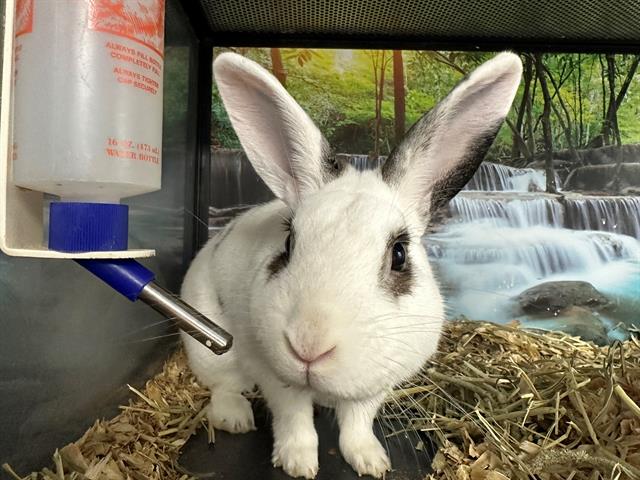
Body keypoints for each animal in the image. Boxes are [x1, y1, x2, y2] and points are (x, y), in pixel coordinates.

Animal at [181, 51, 522, 479]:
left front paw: (372, 461)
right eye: (289, 243)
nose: (308, 346)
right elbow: (294, 418)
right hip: (210, 346)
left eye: (399, 255)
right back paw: (236, 418)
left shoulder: (376, 385)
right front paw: (298, 463)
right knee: (223, 385)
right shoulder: (274, 375)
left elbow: (358, 421)